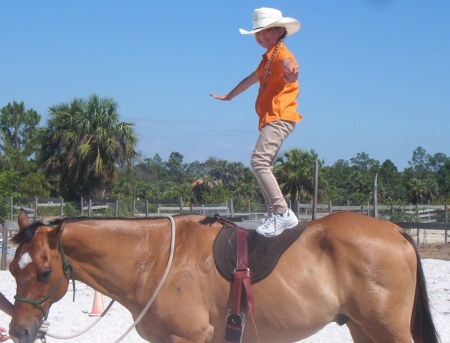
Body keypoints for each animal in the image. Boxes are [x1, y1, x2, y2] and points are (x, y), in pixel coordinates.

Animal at [7, 210, 440, 343]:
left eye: (44, 271)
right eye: (12, 269)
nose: (20, 330)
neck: (155, 258)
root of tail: (395, 229)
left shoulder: (188, 338)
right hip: (363, 328)